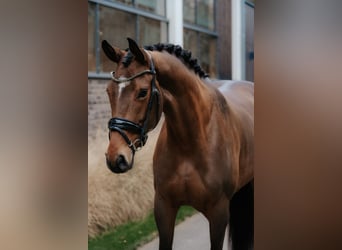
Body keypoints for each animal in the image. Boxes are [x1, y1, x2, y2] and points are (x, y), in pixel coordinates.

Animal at [103, 37, 252, 250]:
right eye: (109, 91)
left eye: (142, 92)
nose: (116, 157)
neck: (190, 141)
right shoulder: (164, 208)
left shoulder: (219, 214)